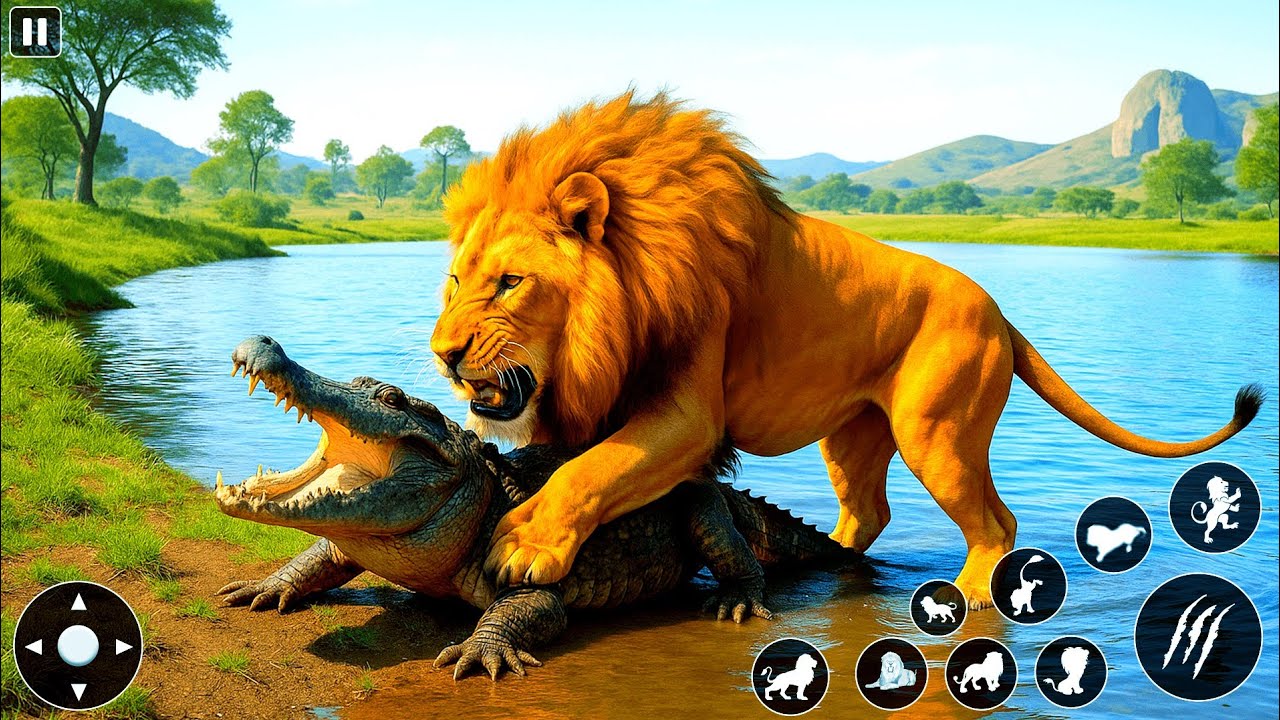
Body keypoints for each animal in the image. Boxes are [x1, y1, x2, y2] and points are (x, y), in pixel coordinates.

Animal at [430, 90, 1264, 608]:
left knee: (996, 525)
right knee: (868, 514)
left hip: (940, 434)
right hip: (855, 438)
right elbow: (587, 465)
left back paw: (967, 599)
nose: (441, 353)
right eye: (457, 279)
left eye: (510, 283)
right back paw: (828, 567)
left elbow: (592, 472)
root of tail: (999, 312)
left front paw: (520, 546)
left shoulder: (691, 414)